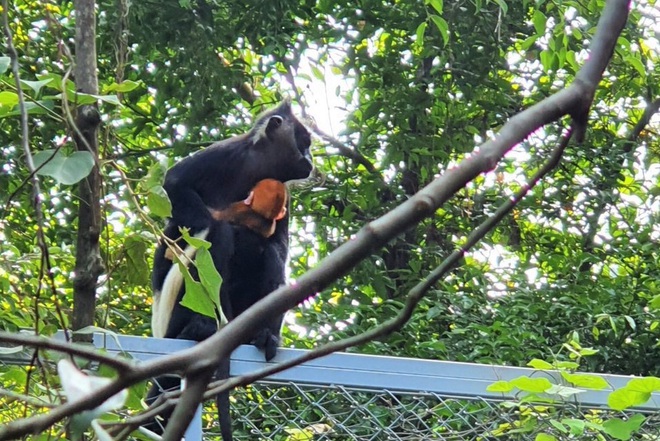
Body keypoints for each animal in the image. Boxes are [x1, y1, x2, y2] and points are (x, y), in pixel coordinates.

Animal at [146, 101, 310, 438]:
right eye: (304, 143)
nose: (310, 161)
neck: (255, 168)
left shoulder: (284, 194)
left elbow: (279, 248)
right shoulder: (225, 154)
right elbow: (175, 184)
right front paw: (208, 221)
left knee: (268, 255)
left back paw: (262, 334)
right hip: (175, 314)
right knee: (215, 240)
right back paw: (201, 327)